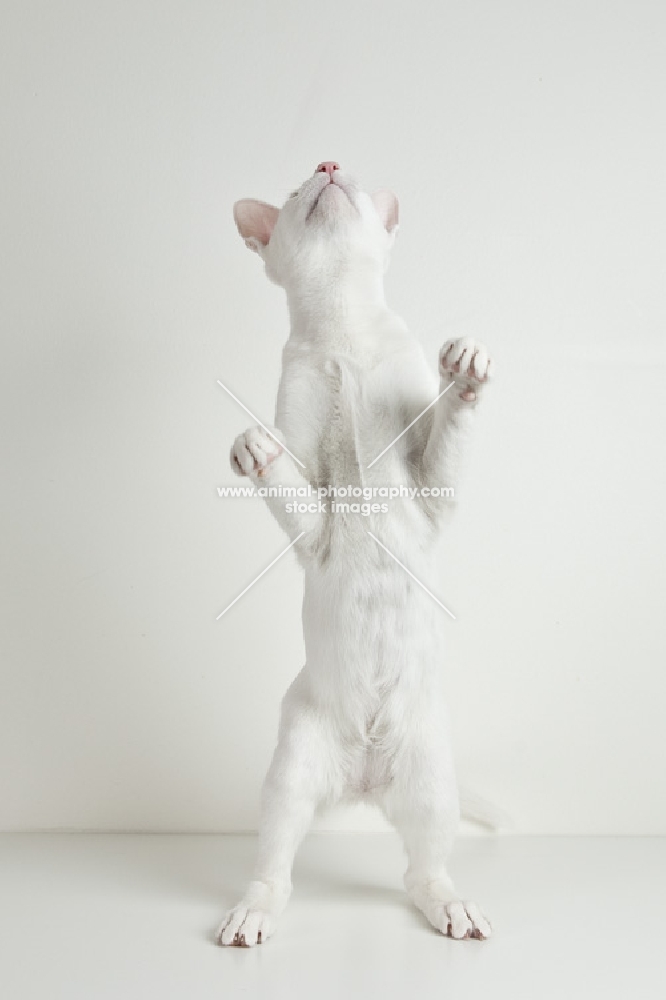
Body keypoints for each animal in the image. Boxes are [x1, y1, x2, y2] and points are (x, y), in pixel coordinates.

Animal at [215, 162, 490, 944]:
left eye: (351, 180)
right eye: (298, 188)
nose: (329, 164)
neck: (341, 332)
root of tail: (365, 783)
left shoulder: (433, 494)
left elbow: (450, 430)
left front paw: (465, 371)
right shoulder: (312, 526)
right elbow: (287, 478)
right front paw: (254, 449)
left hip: (431, 779)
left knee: (423, 870)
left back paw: (453, 907)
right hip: (290, 773)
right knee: (275, 868)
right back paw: (250, 914)